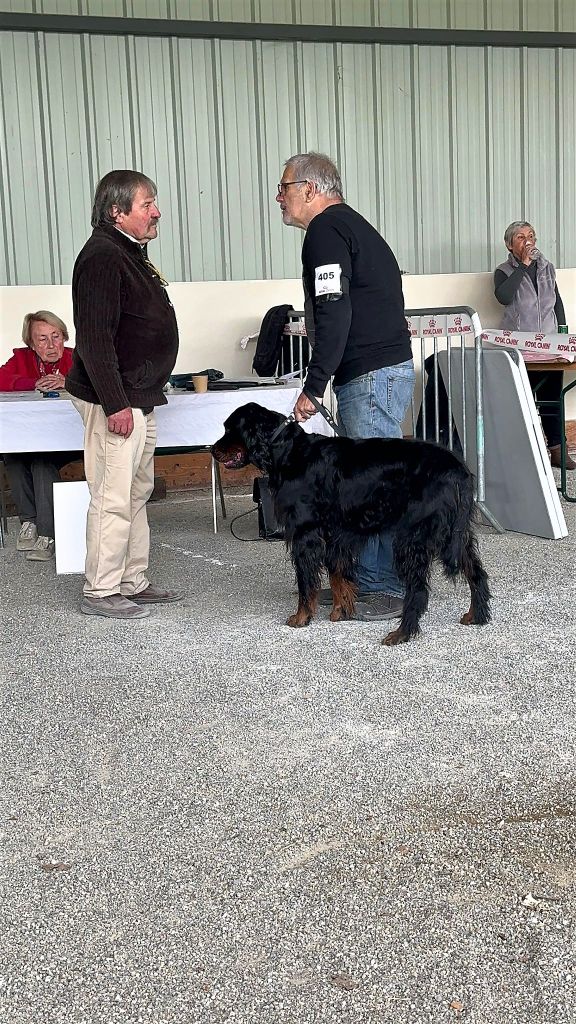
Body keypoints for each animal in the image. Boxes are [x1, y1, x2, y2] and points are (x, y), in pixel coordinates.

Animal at [211, 403, 487, 643]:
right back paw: (478, 615)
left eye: (229, 429)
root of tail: (458, 468)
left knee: (418, 590)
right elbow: (338, 575)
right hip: (456, 534)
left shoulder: (305, 534)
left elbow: (306, 581)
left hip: (413, 536)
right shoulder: (335, 534)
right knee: (476, 572)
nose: (213, 450)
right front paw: (340, 611)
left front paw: (302, 617)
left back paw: (402, 633)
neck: (289, 453)